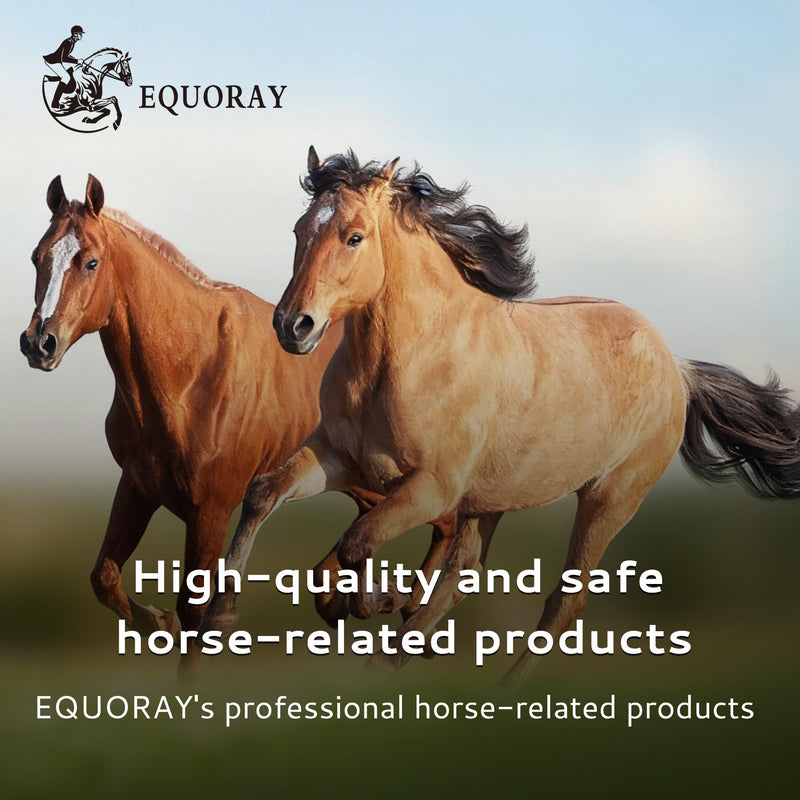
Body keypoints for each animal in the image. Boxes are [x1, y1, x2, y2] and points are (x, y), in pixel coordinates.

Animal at [20, 174, 345, 674]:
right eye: (38, 257)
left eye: (91, 261)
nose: (39, 343)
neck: (193, 373)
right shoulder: (139, 486)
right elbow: (105, 577)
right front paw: (159, 621)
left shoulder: (211, 510)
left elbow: (195, 614)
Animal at [203, 147, 800, 688]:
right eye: (300, 230)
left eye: (354, 237)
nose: (293, 326)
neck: (408, 358)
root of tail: (676, 366)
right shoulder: (337, 457)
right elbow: (264, 495)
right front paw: (223, 616)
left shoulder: (431, 489)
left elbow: (358, 540)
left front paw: (372, 599)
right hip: (489, 502)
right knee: (461, 576)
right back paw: (390, 663)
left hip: (609, 499)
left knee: (563, 601)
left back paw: (500, 693)